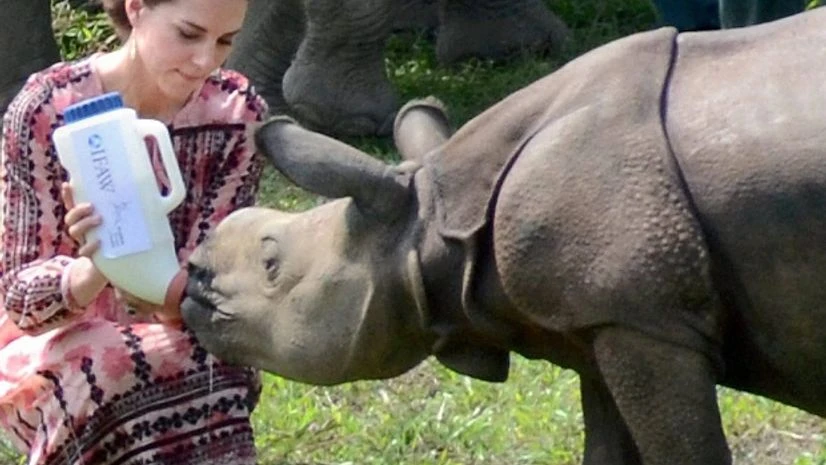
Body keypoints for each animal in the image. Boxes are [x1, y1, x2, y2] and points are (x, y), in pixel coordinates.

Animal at [181, 8, 826, 465]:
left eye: (271, 262)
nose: (192, 277)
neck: (431, 224)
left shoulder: (647, 319)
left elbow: (685, 451)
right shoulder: (599, 315)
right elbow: (606, 448)